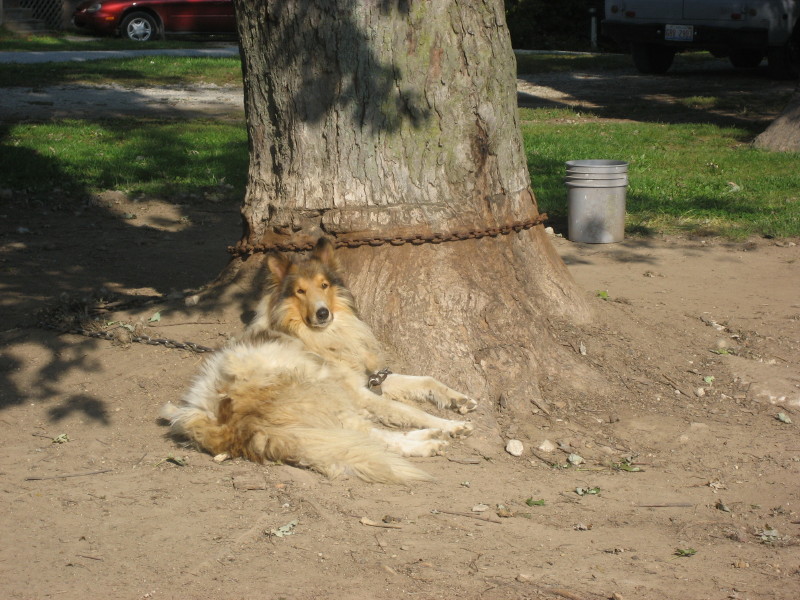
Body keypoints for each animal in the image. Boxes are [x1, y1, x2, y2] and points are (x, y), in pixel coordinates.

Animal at [161, 237, 476, 486]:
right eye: (300, 291)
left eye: (324, 285)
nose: (323, 313)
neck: (319, 334)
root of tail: (224, 430)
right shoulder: (357, 392)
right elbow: (407, 410)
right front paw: (450, 423)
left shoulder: (368, 378)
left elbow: (426, 380)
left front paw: (460, 400)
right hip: (320, 390)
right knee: (366, 434)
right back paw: (430, 440)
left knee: (358, 435)